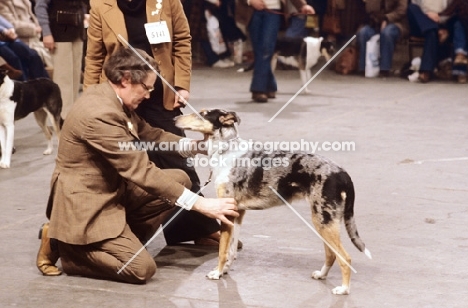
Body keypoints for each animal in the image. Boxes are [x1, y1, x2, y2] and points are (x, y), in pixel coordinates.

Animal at [174, 109, 372, 294]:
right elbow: (231, 250)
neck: (226, 150)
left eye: (202, 113)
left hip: (324, 220)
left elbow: (223, 250)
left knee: (345, 257)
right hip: (324, 221)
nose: (174, 119)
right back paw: (321, 275)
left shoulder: (226, 212)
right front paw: (225, 270)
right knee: (331, 254)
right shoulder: (238, 212)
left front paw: (217, 273)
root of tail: (342, 173)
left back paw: (343, 289)